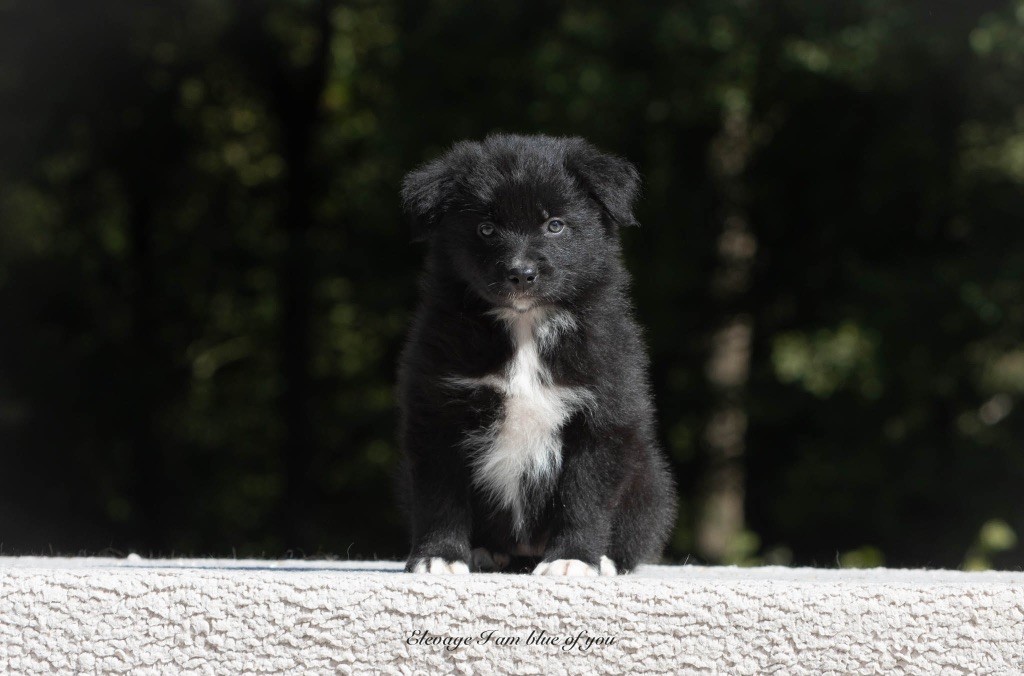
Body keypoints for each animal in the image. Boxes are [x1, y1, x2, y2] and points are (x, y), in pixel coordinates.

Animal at [397, 133, 676, 576]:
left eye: (555, 224)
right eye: (486, 228)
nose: (521, 274)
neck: (524, 325)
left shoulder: (600, 416)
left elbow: (584, 496)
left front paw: (574, 559)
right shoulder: (437, 410)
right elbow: (441, 495)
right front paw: (438, 556)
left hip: (649, 481)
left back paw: (607, 560)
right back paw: (483, 551)